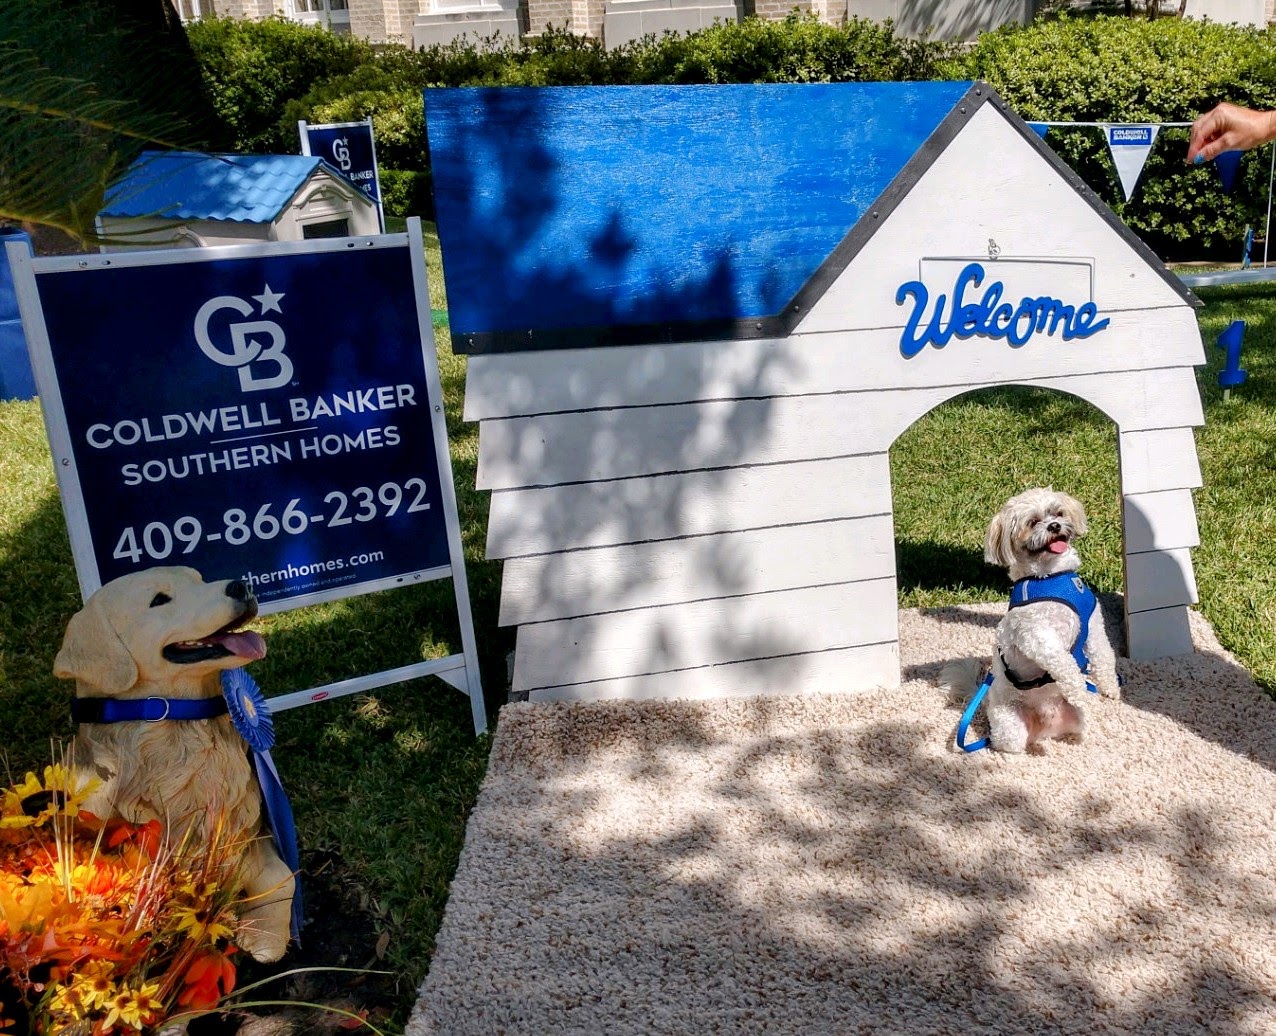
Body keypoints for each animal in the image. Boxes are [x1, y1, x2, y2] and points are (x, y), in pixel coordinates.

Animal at [944, 487, 1122, 750]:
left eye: (1058, 513)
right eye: (1033, 522)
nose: (1055, 526)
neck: (1051, 576)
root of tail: (1043, 728)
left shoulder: (1093, 624)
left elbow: (1104, 655)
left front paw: (1110, 687)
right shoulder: (1035, 634)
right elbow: (1062, 661)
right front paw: (1078, 687)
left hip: (1076, 719)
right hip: (1010, 729)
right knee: (1004, 744)